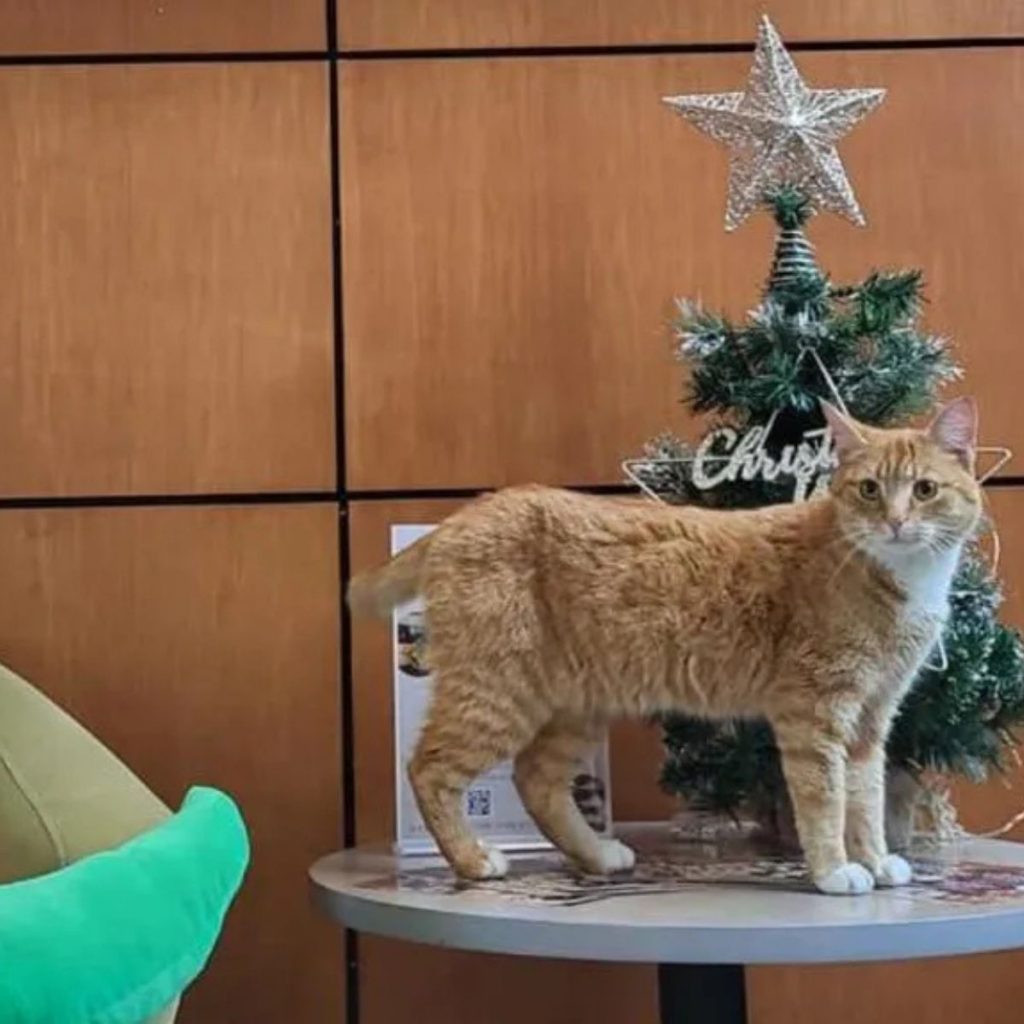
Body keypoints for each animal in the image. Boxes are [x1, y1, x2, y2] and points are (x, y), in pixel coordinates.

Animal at [352, 399, 983, 897]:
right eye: (870, 490)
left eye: (925, 490)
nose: (895, 523)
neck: (898, 578)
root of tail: (470, 511)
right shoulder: (816, 714)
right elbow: (825, 799)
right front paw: (834, 870)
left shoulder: (872, 719)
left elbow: (866, 799)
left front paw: (874, 859)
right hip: (498, 693)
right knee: (431, 768)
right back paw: (473, 859)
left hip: (574, 705)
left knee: (536, 780)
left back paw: (596, 855)